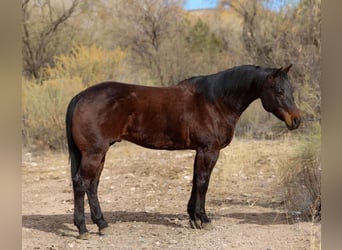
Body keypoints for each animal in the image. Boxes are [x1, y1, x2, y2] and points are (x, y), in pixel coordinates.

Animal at [65, 63, 300, 238]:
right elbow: (203, 183)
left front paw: (193, 219)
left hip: (99, 154)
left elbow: (196, 181)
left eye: (291, 90)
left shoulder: (200, 150)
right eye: (279, 91)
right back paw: (83, 228)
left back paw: (102, 224)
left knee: (92, 185)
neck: (215, 100)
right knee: (81, 184)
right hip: (94, 154)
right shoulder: (209, 150)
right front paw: (204, 219)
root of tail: (80, 96)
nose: (296, 120)